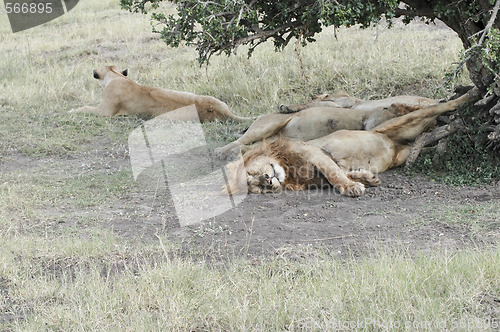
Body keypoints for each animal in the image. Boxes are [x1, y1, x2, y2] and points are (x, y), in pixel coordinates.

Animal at [68, 65, 252, 122]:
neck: (117, 76)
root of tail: (222, 111)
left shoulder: (105, 111)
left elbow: (85, 108)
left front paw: (71, 111)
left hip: (163, 118)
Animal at [226, 89, 480, 197]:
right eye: (255, 186)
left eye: (252, 174)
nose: (268, 181)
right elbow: (341, 173)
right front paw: (366, 178)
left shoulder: (316, 152)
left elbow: (335, 175)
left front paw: (351, 187)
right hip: (405, 152)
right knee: (425, 143)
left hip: (402, 121)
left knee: (438, 107)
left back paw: (469, 96)